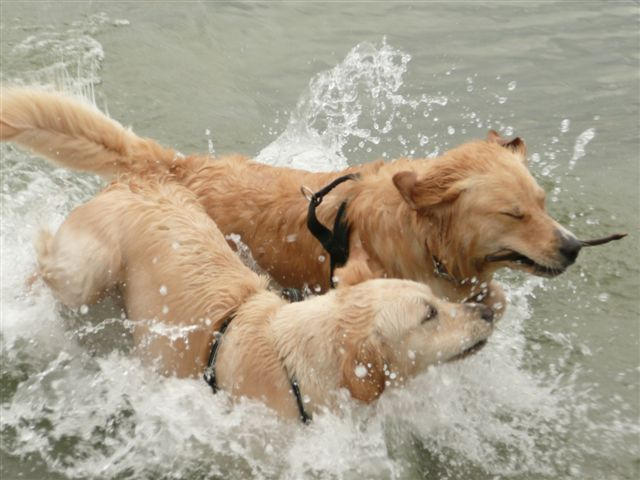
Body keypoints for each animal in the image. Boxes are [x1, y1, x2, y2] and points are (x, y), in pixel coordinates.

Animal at [32, 180, 492, 420]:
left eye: (434, 299)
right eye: (429, 314)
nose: (487, 311)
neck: (296, 367)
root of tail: (131, 183)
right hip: (87, 275)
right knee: (46, 262)